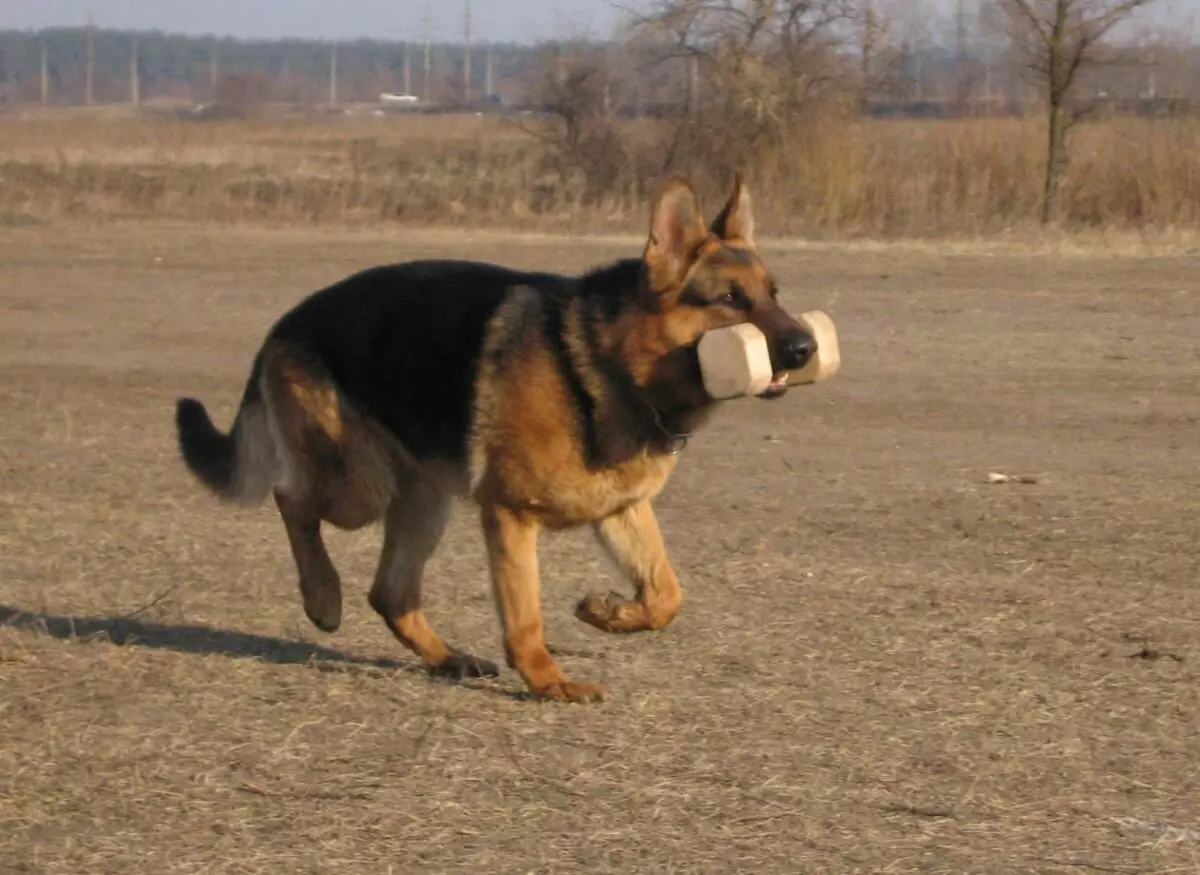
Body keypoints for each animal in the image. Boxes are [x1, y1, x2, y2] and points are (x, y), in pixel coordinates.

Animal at [175, 174, 816, 700]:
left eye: (774, 294)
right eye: (731, 300)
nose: (807, 347)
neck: (606, 362)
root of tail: (282, 325)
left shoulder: (622, 511)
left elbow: (666, 595)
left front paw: (606, 611)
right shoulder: (511, 516)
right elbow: (525, 615)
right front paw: (548, 682)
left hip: (423, 501)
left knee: (390, 594)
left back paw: (446, 658)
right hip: (360, 487)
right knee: (291, 498)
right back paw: (322, 596)